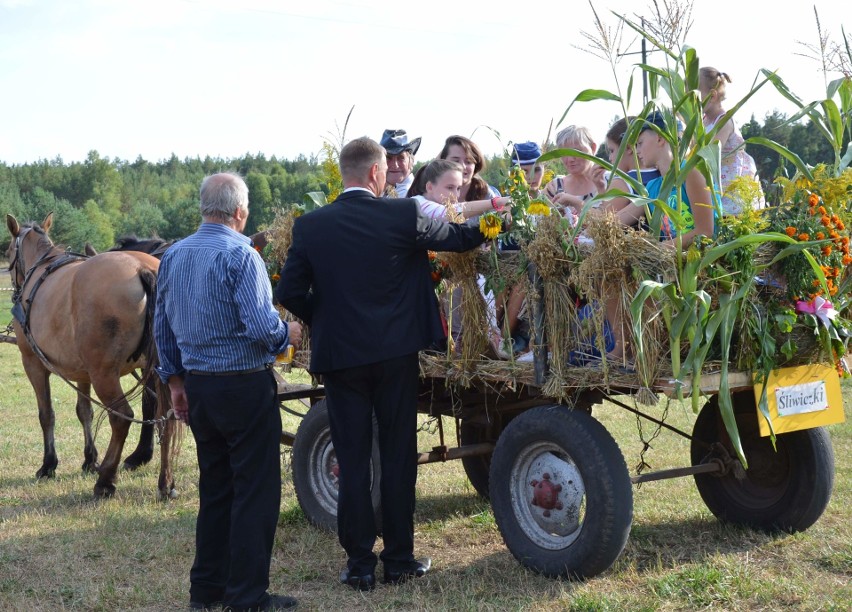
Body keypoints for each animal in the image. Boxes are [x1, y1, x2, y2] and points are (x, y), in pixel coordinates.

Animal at [5, 213, 180, 500]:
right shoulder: (81, 370)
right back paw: (165, 482)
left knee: (121, 417)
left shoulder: (32, 363)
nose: (15, 290)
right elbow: (84, 411)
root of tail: (144, 269)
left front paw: (48, 464)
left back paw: (106, 480)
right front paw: (89, 459)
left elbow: (46, 413)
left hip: (104, 374)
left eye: (8, 251)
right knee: (166, 416)